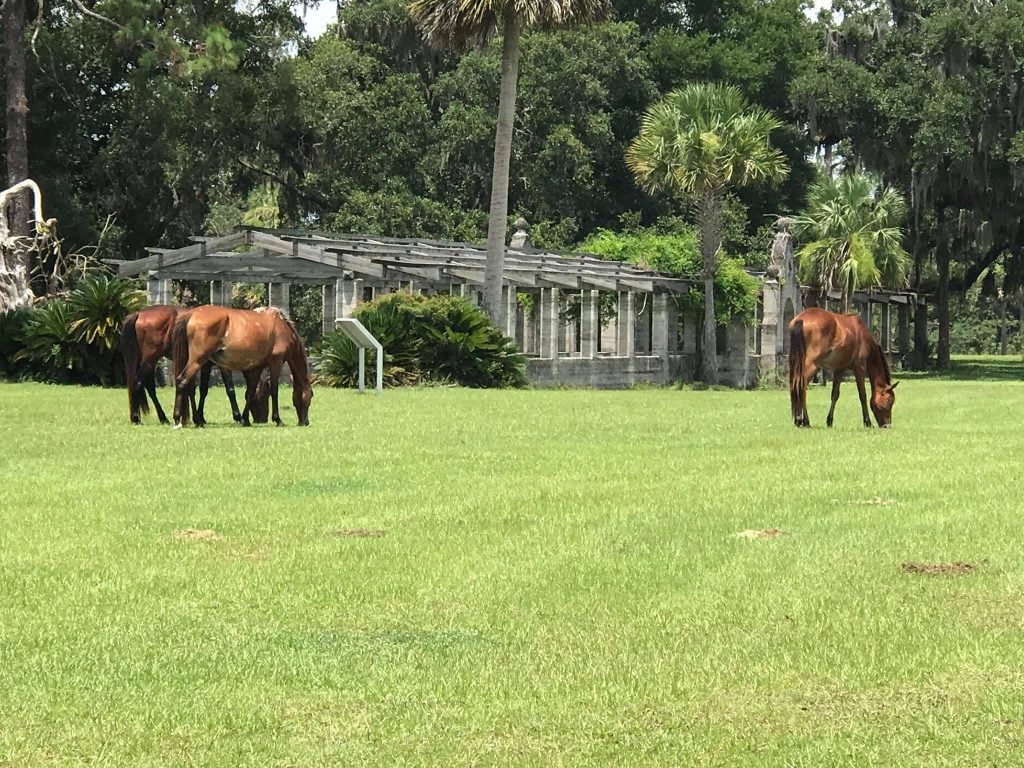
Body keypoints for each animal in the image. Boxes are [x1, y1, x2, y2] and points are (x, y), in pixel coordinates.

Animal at [171, 305, 312, 428]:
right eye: (311, 395)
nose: (305, 422)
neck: (281, 325)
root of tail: (191, 314)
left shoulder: (256, 368)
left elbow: (250, 392)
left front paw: (245, 420)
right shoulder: (275, 364)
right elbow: (274, 391)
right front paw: (278, 420)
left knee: (187, 386)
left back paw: (195, 420)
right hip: (198, 360)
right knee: (182, 381)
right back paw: (179, 418)